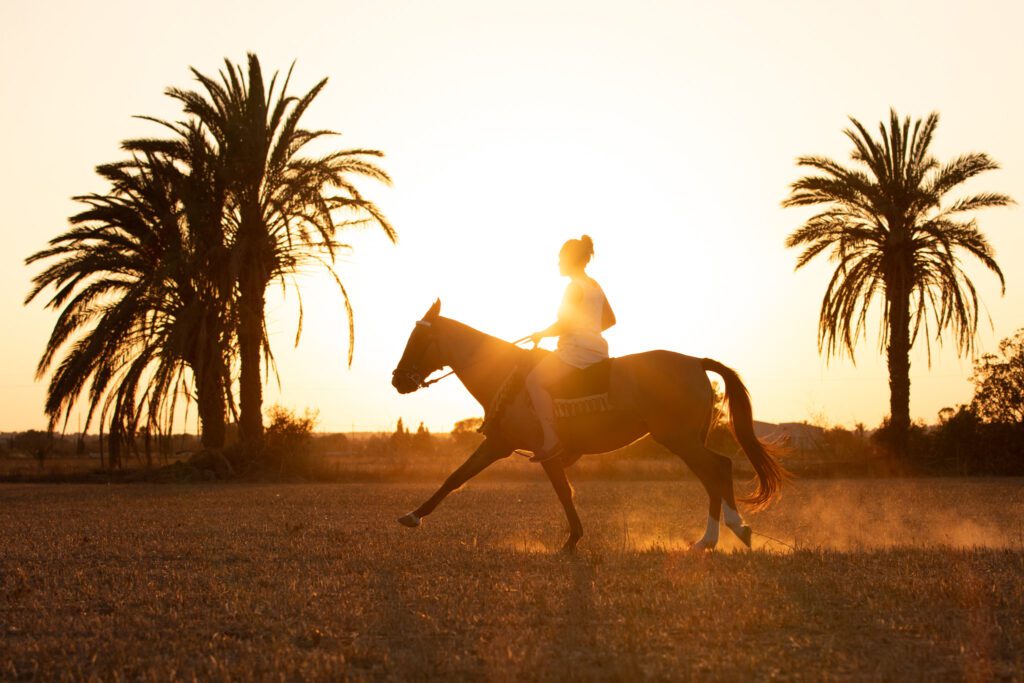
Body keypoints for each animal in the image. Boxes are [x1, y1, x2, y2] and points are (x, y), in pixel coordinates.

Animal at [391, 299, 786, 552]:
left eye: (419, 340)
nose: (398, 381)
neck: (506, 375)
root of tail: (695, 361)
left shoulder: (516, 447)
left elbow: (561, 493)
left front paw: (572, 541)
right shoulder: (503, 445)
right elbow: (456, 477)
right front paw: (413, 515)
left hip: (679, 439)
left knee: (719, 468)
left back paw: (733, 530)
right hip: (686, 440)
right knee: (711, 476)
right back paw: (709, 540)